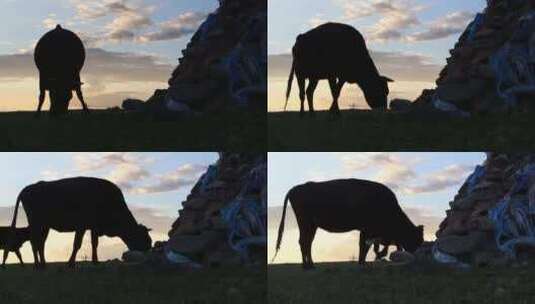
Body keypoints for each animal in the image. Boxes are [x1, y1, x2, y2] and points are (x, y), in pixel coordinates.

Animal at [5, 176, 153, 268]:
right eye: (143, 236)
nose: (149, 246)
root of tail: (27, 188)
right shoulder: (82, 226)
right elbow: (77, 244)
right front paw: (71, 263)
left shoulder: (93, 227)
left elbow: (94, 243)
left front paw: (95, 261)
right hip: (36, 224)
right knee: (35, 242)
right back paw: (37, 265)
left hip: (44, 226)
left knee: (40, 243)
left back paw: (43, 265)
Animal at [274, 179, 426, 270]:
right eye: (416, 238)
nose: (416, 255)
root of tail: (296, 188)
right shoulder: (368, 230)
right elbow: (366, 246)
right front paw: (367, 261)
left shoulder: (370, 232)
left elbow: (369, 246)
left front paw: (364, 262)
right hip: (305, 223)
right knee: (303, 242)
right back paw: (306, 266)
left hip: (311, 225)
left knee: (307, 242)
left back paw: (310, 265)